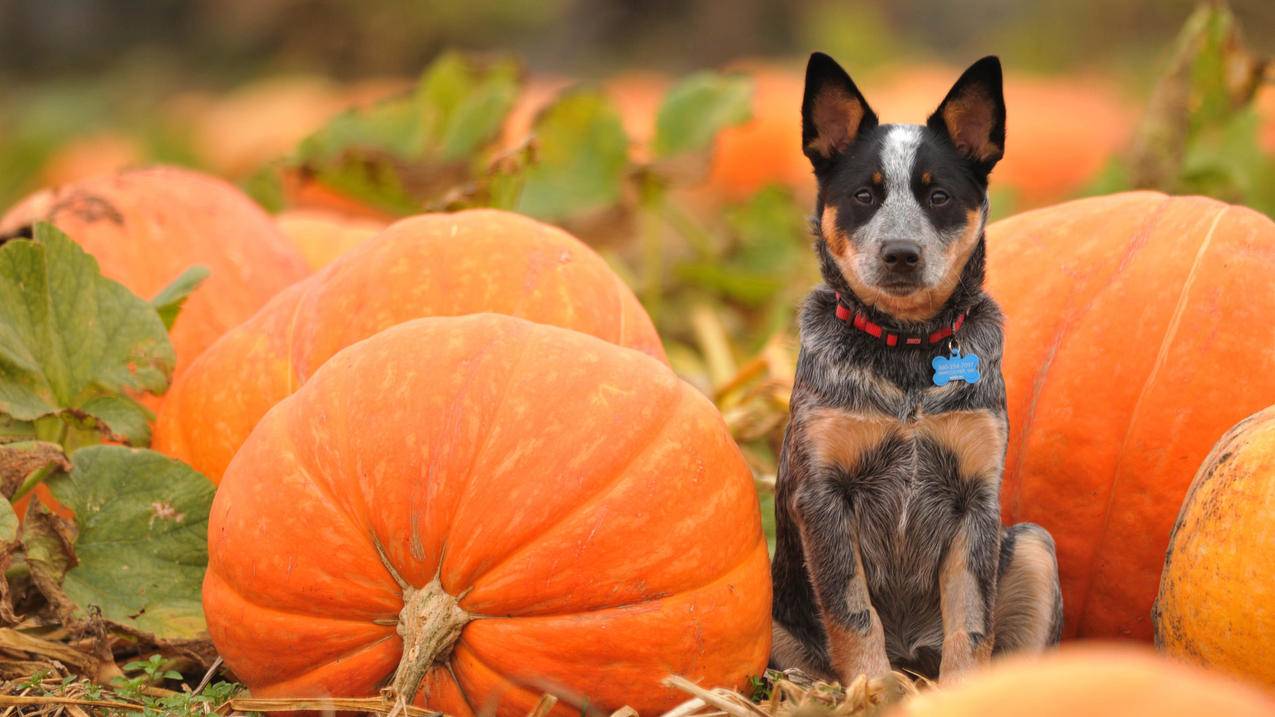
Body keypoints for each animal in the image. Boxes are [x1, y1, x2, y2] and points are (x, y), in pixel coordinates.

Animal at [765, 51, 1065, 678]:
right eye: (864, 196)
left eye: (939, 196)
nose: (900, 253)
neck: (907, 348)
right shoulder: (825, 495)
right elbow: (851, 609)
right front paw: (872, 686)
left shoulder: (975, 499)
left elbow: (971, 621)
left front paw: (964, 687)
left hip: (1032, 546)